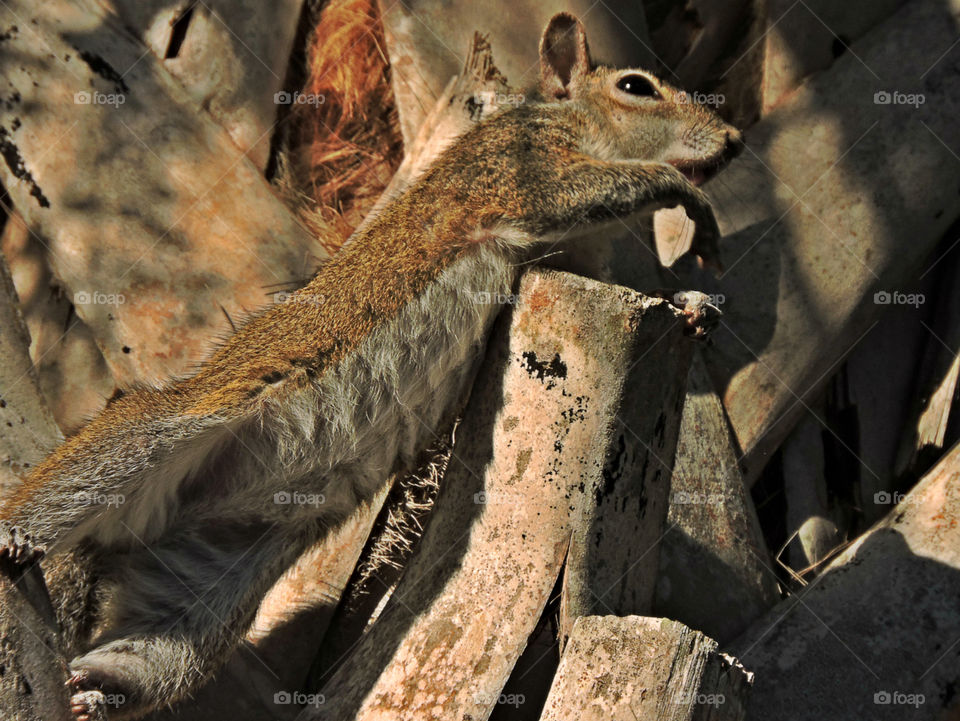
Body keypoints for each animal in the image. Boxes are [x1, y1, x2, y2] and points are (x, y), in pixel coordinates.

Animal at [0, 12, 744, 720]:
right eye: (636, 87)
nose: (736, 140)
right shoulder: (515, 169)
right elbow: (574, 190)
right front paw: (683, 199)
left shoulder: (573, 263)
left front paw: (695, 303)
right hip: (157, 433)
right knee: (85, 476)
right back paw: (16, 534)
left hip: (215, 574)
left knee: (163, 648)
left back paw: (93, 690)